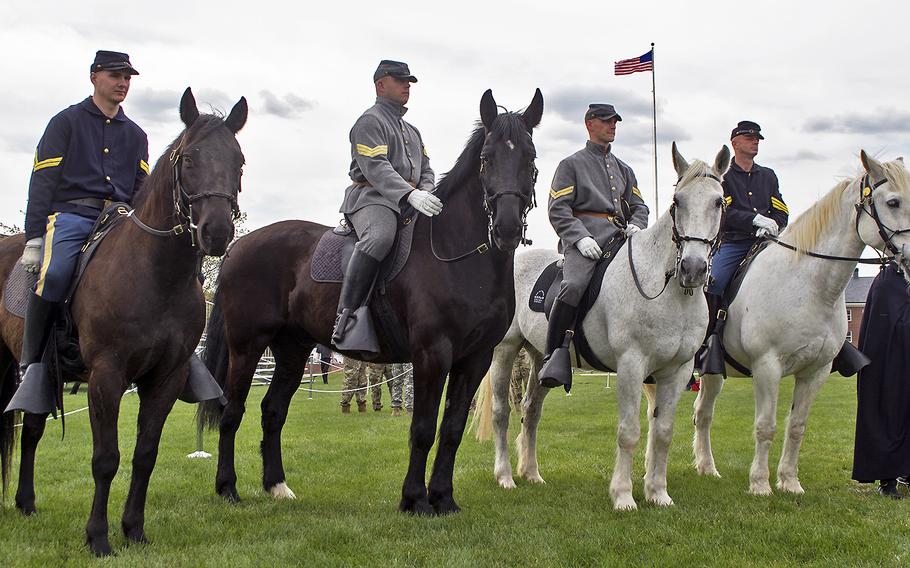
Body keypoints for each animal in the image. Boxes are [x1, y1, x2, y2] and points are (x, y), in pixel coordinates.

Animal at [0, 87, 249, 556]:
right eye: (189, 158)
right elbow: (106, 459)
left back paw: (26, 502)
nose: (216, 232)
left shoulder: (166, 377)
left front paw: (133, 529)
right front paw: (98, 537)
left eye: (238, 160)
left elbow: (144, 454)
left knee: (33, 430)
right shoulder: (107, 375)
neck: (154, 275)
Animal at [200, 89, 540, 516]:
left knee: (272, 412)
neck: (457, 256)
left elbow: (452, 430)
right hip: (246, 347)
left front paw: (443, 498)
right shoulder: (432, 354)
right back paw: (227, 487)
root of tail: (238, 246)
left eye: (529, 156)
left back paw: (277, 485)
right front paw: (416, 500)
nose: (507, 228)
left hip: (292, 350)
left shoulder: (474, 359)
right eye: (487, 158)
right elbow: (423, 429)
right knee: (232, 412)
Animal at [474, 144, 732, 508]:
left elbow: (663, 433)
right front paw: (623, 496)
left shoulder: (677, 371)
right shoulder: (631, 366)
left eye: (718, 201)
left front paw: (658, 493)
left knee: (531, 411)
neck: (666, 290)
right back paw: (506, 476)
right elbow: (629, 432)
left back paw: (532, 473)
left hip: (541, 357)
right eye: (677, 201)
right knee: (501, 413)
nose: (693, 269)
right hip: (505, 351)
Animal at [696, 151, 910, 492]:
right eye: (893, 202)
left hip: (713, 372)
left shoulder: (816, 371)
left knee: (703, 414)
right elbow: (766, 426)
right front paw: (760, 483)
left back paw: (706, 468)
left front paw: (789, 481)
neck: (808, 284)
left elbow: (797, 426)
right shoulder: (767, 366)